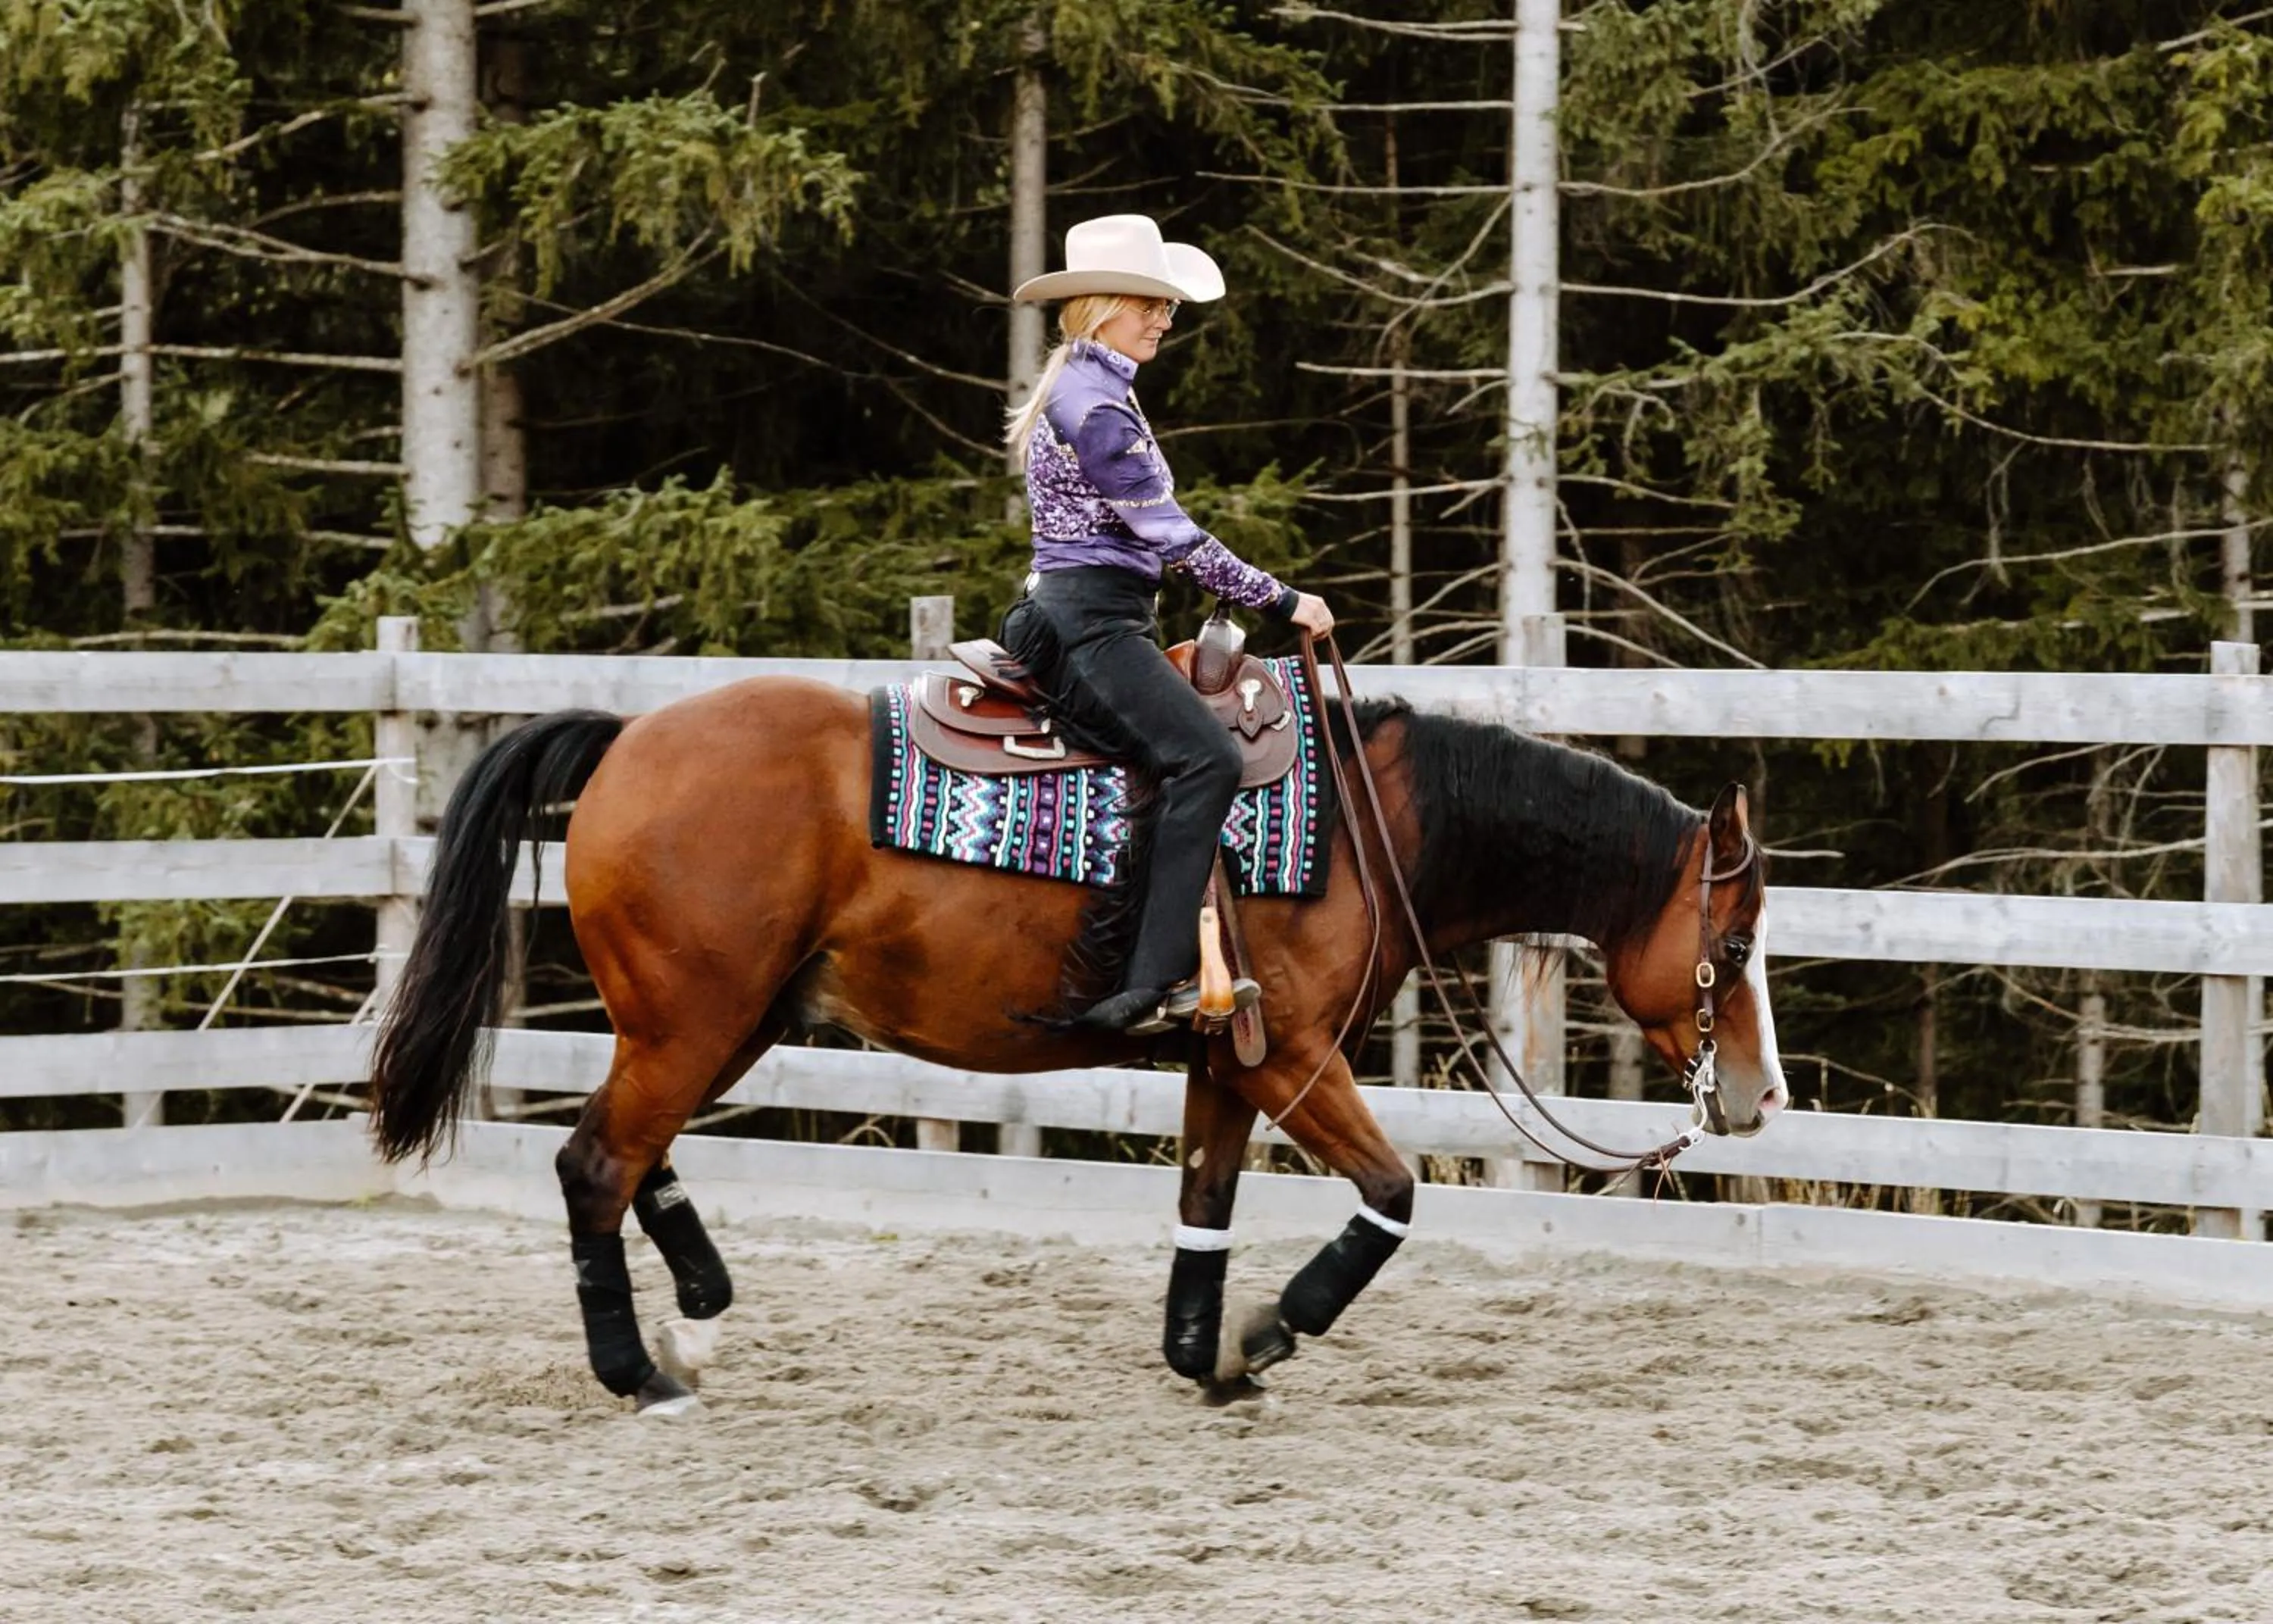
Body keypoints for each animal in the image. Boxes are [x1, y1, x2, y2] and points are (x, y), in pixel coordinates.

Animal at [366, 658, 1788, 1412]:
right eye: (1730, 948)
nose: (1759, 1098)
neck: (1365, 825)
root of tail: (625, 740)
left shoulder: (1227, 1062)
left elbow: (1205, 1208)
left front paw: (1209, 1358)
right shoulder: (1296, 1057)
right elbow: (1390, 1192)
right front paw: (1275, 1329)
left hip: (722, 1018)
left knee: (626, 1155)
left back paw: (700, 1304)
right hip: (694, 1017)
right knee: (597, 1163)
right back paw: (638, 1371)